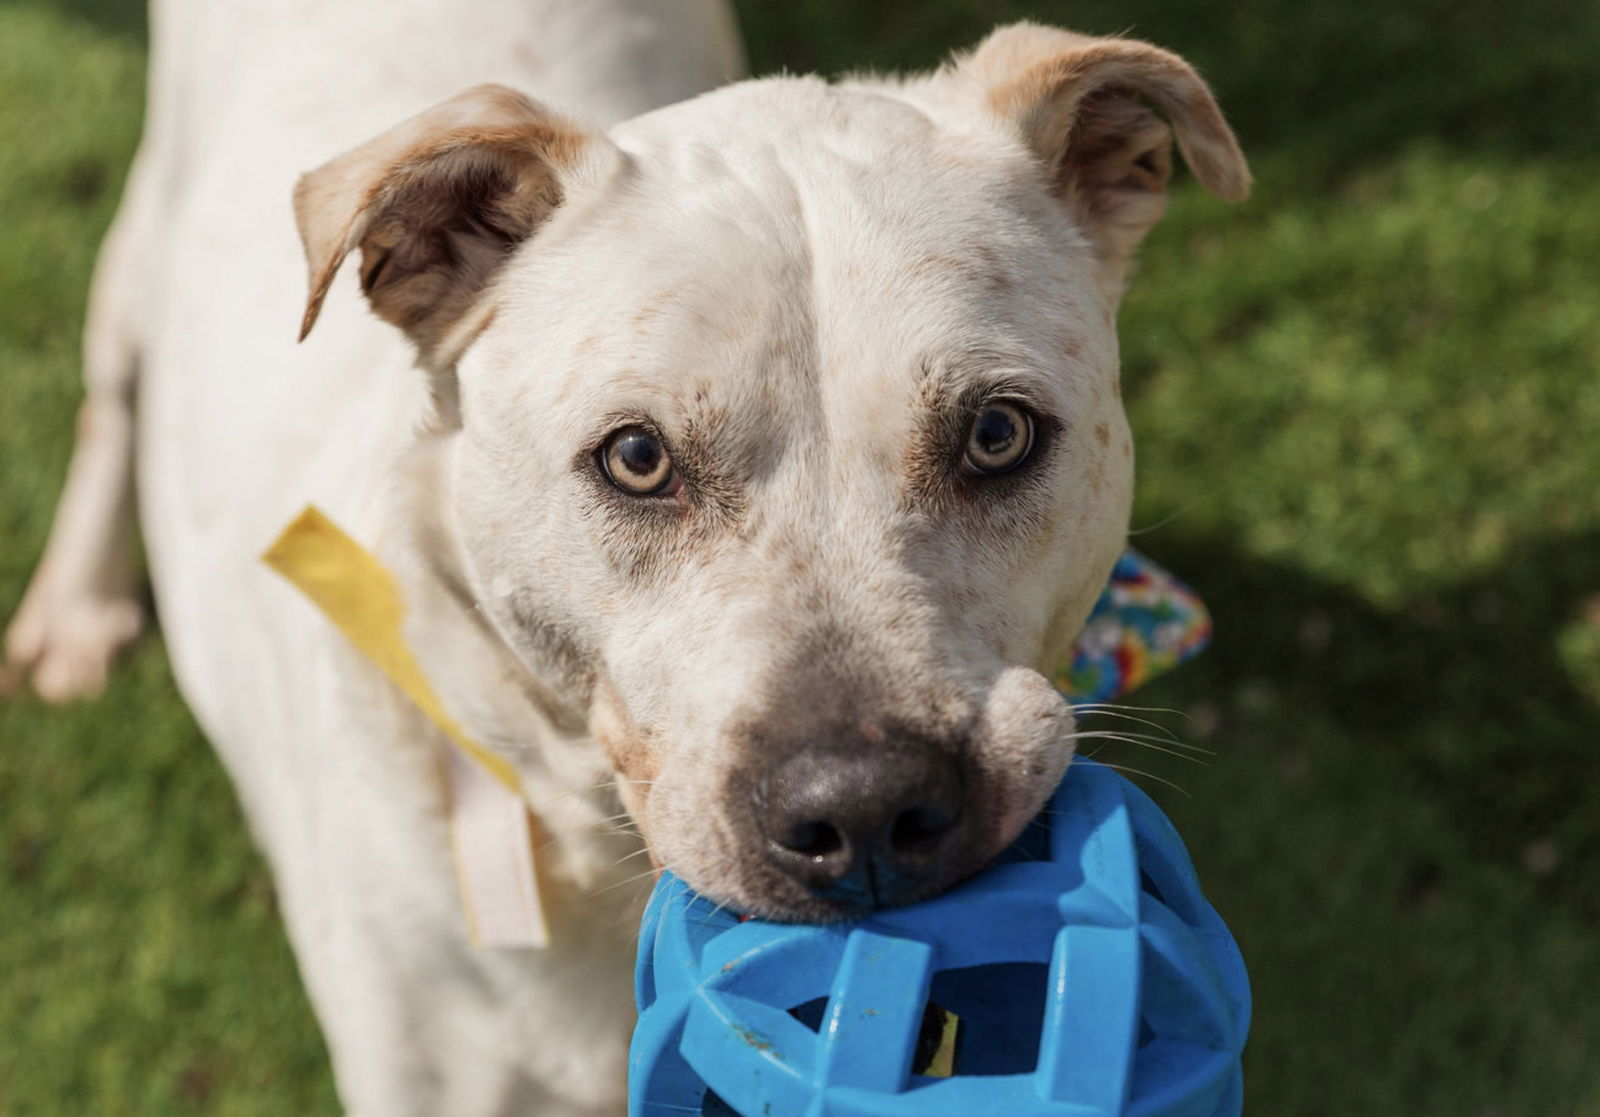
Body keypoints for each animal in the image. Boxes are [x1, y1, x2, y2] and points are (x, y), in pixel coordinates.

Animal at [3, 2, 1248, 1107]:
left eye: (996, 434)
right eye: (638, 459)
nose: (864, 812)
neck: (592, 851)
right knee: (113, 391)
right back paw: (76, 604)